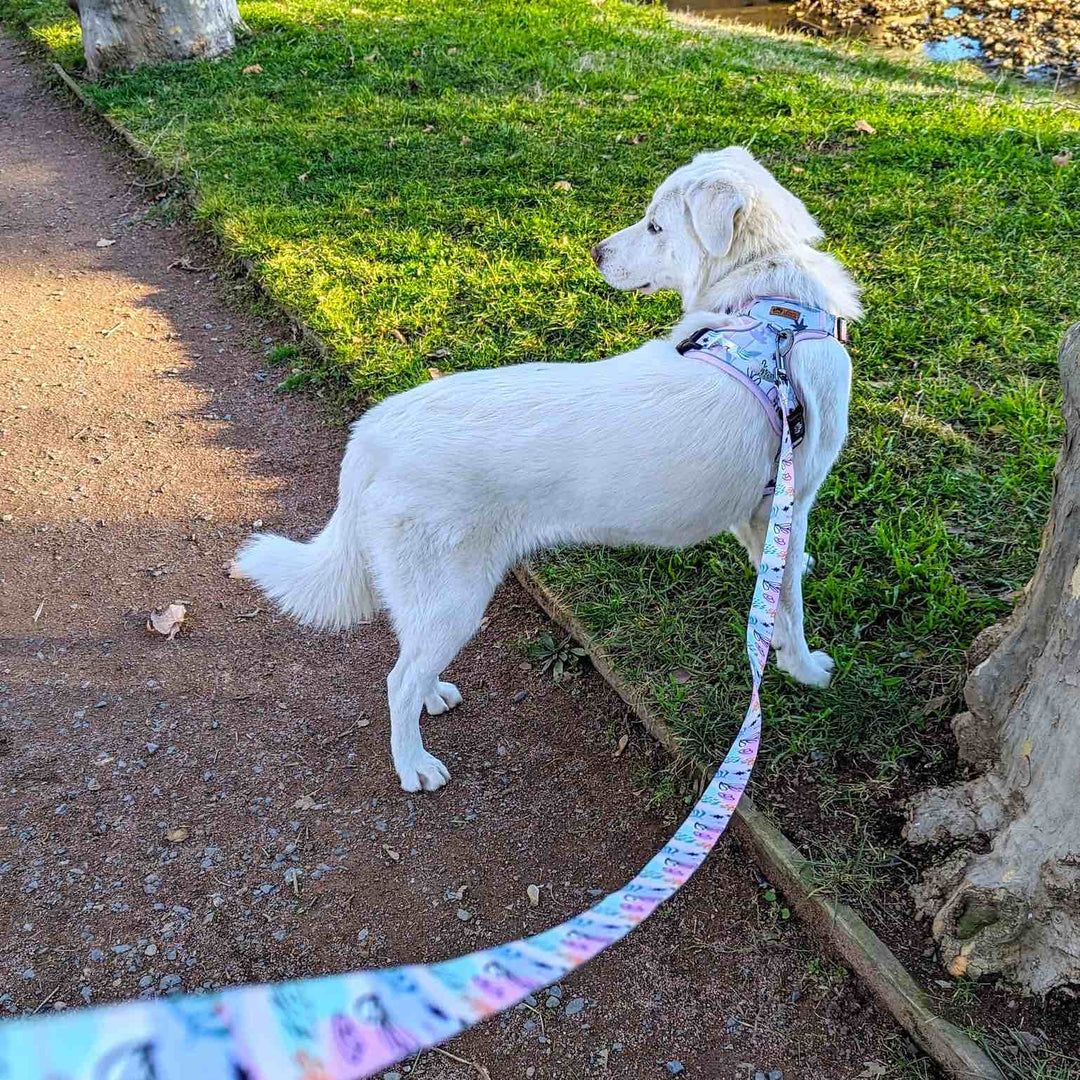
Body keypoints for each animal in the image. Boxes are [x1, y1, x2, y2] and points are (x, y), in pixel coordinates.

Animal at [236, 150, 859, 794]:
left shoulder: (763, 509)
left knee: (409, 655)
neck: (772, 305)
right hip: (454, 597)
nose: (596, 253)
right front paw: (807, 669)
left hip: (428, 594)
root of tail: (374, 429)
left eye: (655, 226)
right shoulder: (791, 500)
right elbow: (790, 606)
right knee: (396, 681)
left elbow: (775, 583)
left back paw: (433, 696)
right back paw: (414, 763)